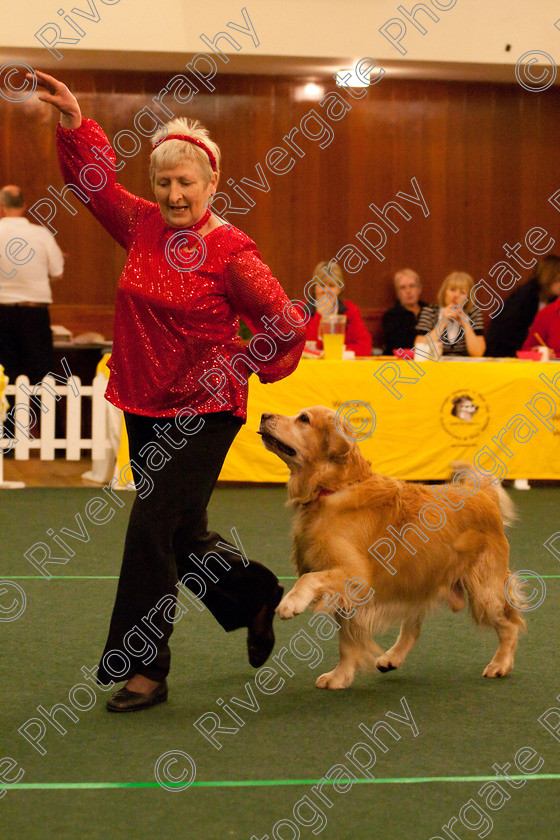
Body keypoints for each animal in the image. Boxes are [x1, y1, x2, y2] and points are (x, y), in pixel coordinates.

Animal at [258, 406, 524, 688]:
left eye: (304, 419)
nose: (263, 415)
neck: (333, 488)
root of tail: (483, 494)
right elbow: (347, 641)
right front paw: (340, 676)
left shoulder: (356, 577)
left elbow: (308, 580)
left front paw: (291, 603)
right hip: (418, 577)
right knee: (413, 626)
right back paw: (392, 657)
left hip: (484, 590)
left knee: (509, 624)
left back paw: (500, 664)